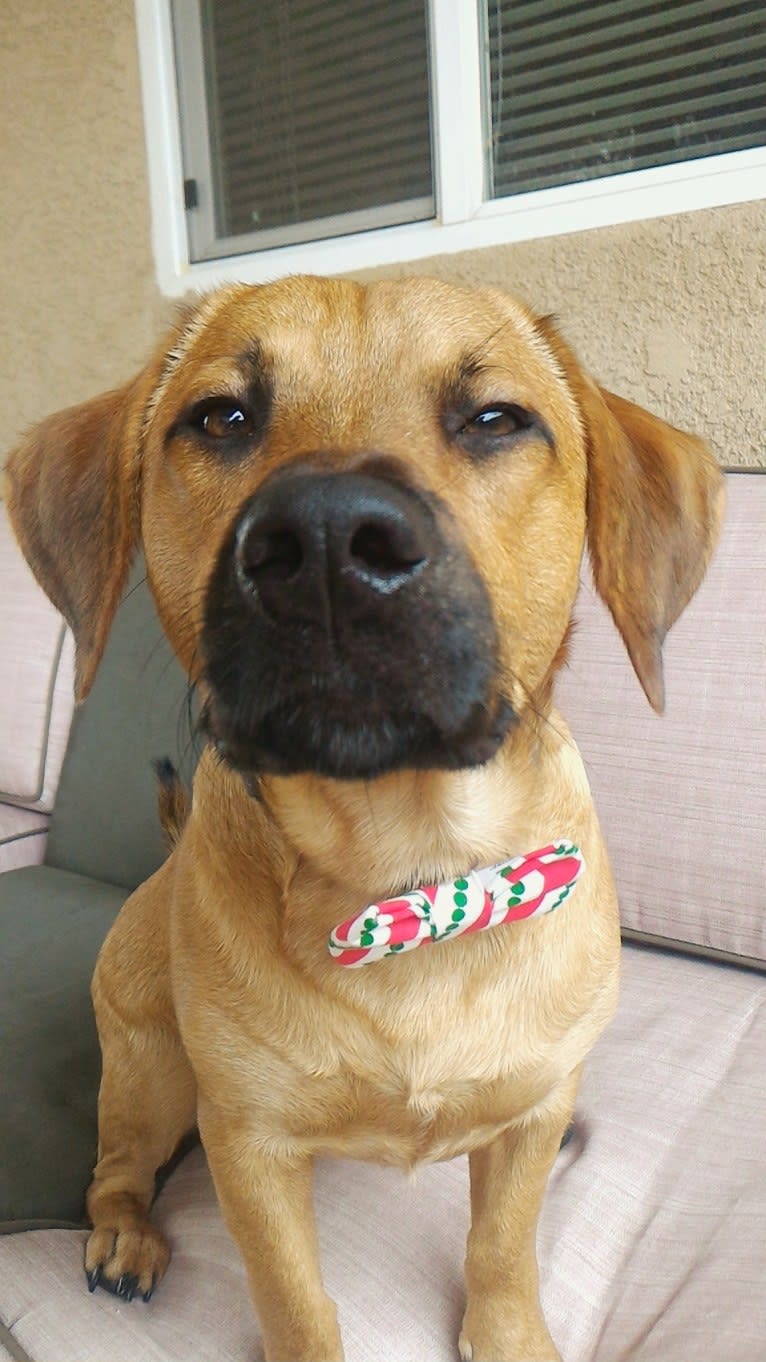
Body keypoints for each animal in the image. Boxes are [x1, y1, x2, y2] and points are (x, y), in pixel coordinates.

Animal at [4, 276, 719, 1362]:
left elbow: (502, 1248)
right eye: (220, 418)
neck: (409, 875)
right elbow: (295, 1301)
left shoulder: (529, 1117)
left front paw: (507, 1333)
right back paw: (124, 1235)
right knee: (115, 1168)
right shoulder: (250, 1146)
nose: (329, 544)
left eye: (495, 419)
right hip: (150, 1073)